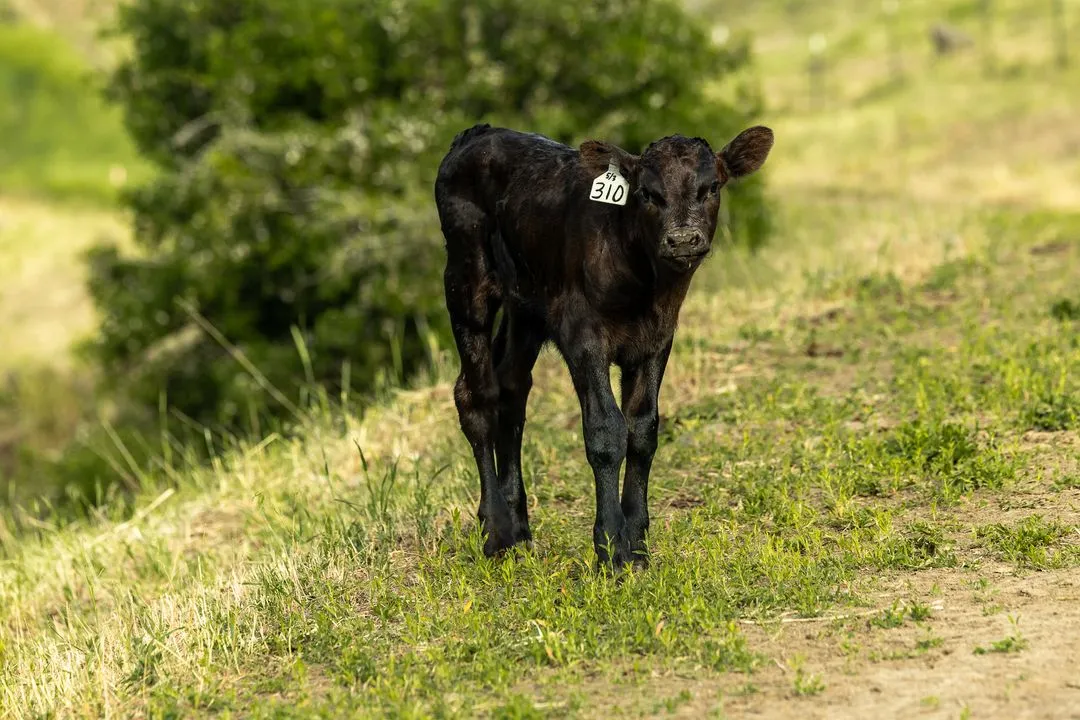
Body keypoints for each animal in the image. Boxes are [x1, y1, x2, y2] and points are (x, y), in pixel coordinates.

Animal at [434, 123, 773, 568]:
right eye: (646, 193)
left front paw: (637, 543)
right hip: (465, 278)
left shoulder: (657, 339)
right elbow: (606, 431)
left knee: (512, 387)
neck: (646, 287)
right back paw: (496, 532)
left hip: (526, 307)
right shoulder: (583, 336)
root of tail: (478, 133)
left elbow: (643, 429)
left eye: (711, 187)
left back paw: (519, 528)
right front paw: (611, 548)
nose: (682, 239)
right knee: (476, 395)